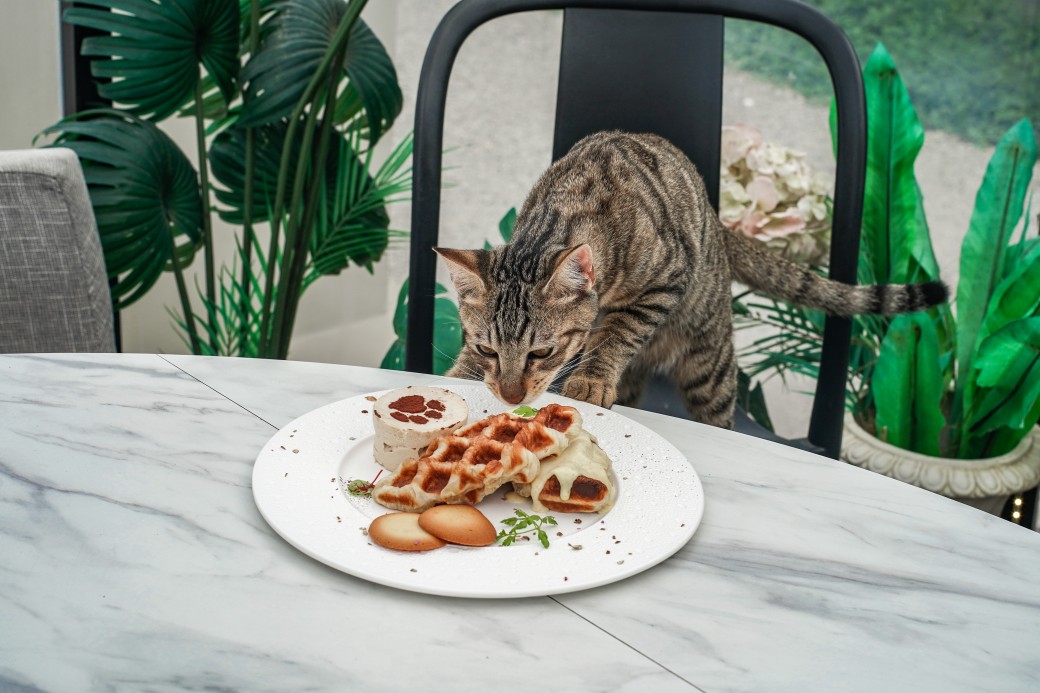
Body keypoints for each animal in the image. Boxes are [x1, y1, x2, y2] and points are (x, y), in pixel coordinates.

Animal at [434, 129, 948, 426]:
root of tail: (720, 227)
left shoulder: (664, 280)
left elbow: (617, 333)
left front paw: (592, 378)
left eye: (542, 352)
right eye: (487, 349)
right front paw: (460, 377)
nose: (511, 395)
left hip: (710, 369)